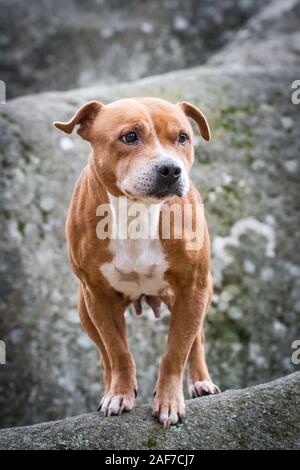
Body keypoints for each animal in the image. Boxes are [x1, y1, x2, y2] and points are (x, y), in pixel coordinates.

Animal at [54, 97, 219, 428]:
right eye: (129, 136)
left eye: (183, 137)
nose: (170, 169)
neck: (137, 213)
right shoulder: (98, 296)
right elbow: (117, 352)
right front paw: (119, 395)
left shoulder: (192, 288)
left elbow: (175, 352)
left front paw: (168, 402)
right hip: (84, 309)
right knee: (104, 356)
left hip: (199, 295)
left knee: (196, 340)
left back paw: (200, 382)